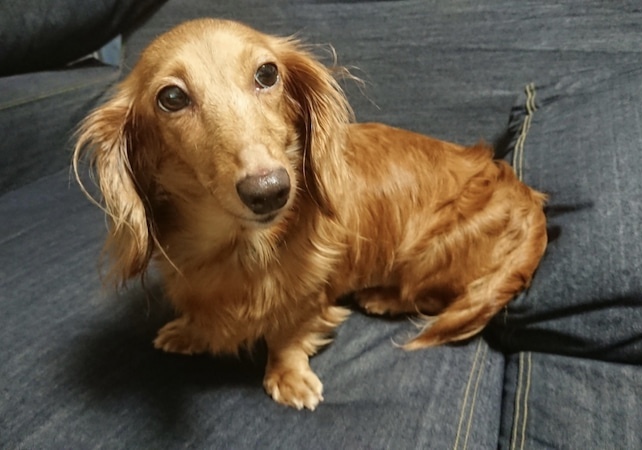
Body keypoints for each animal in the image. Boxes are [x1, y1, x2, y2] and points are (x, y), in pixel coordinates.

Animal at [73, 18, 547, 410]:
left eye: (267, 74)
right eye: (171, 97)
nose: (269, 191)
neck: (238, 247)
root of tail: (525, 193)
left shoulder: (309, 295)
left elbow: (287, 333)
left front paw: (287, 376)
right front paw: (189, 331)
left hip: (429, 254)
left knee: (427, 295)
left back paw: (382, 297)